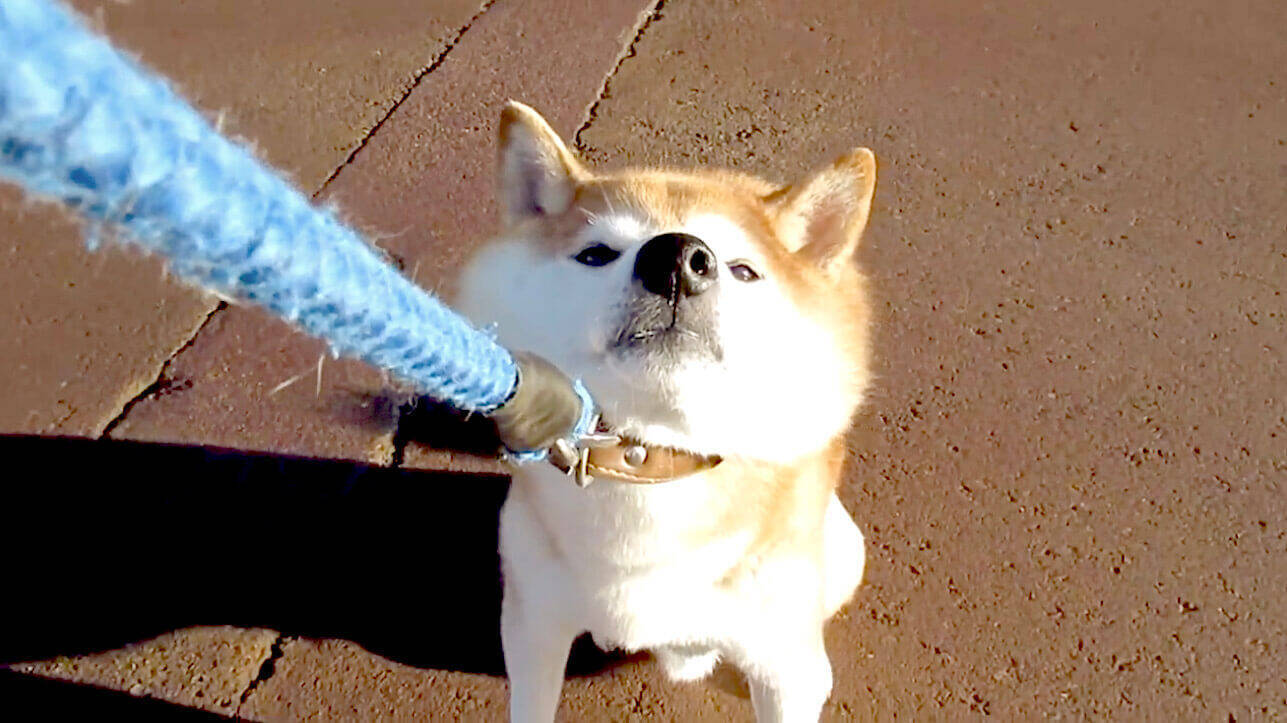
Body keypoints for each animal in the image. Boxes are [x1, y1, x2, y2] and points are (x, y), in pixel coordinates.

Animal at [453, 102, 875, 720]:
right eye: (596, 254)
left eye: (744, 269)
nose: (677, 257)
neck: (650, 462)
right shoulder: (533, 633)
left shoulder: (786, 672)